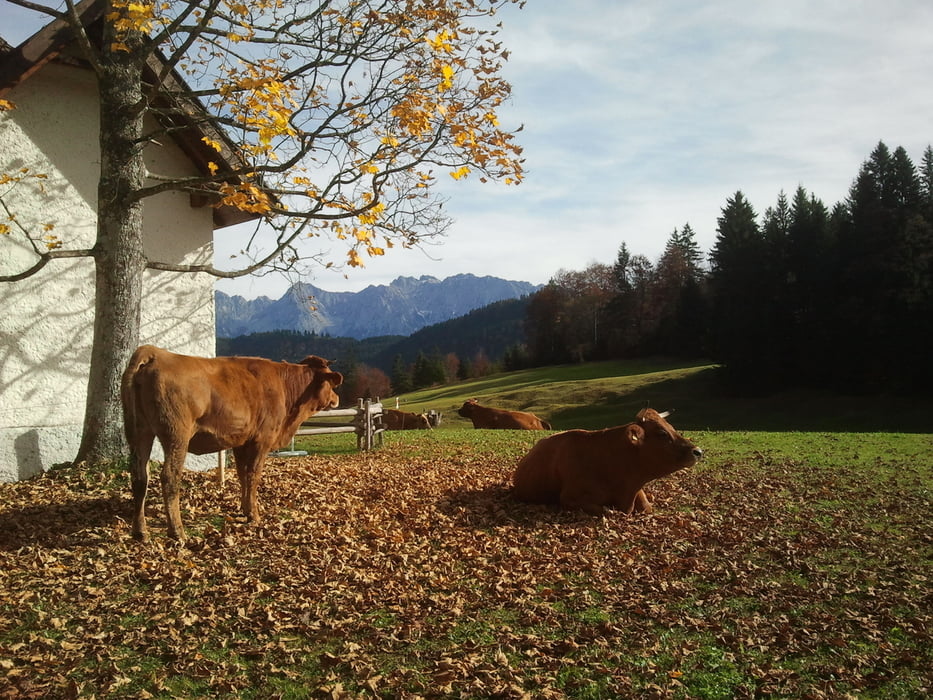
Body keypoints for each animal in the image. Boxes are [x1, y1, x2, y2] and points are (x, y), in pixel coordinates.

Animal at [121, 344, 342, 540]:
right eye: (332, 384)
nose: (337, 398)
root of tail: (155, 353)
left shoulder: (241, 442)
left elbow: (242, 475)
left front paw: (245, 509)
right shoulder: (261, 440)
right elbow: (253, 476)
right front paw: (254, 515)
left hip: (139, 432)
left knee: (140, 477)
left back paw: (140, 532)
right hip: (176, 436)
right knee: (169, 477)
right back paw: (177, 532)